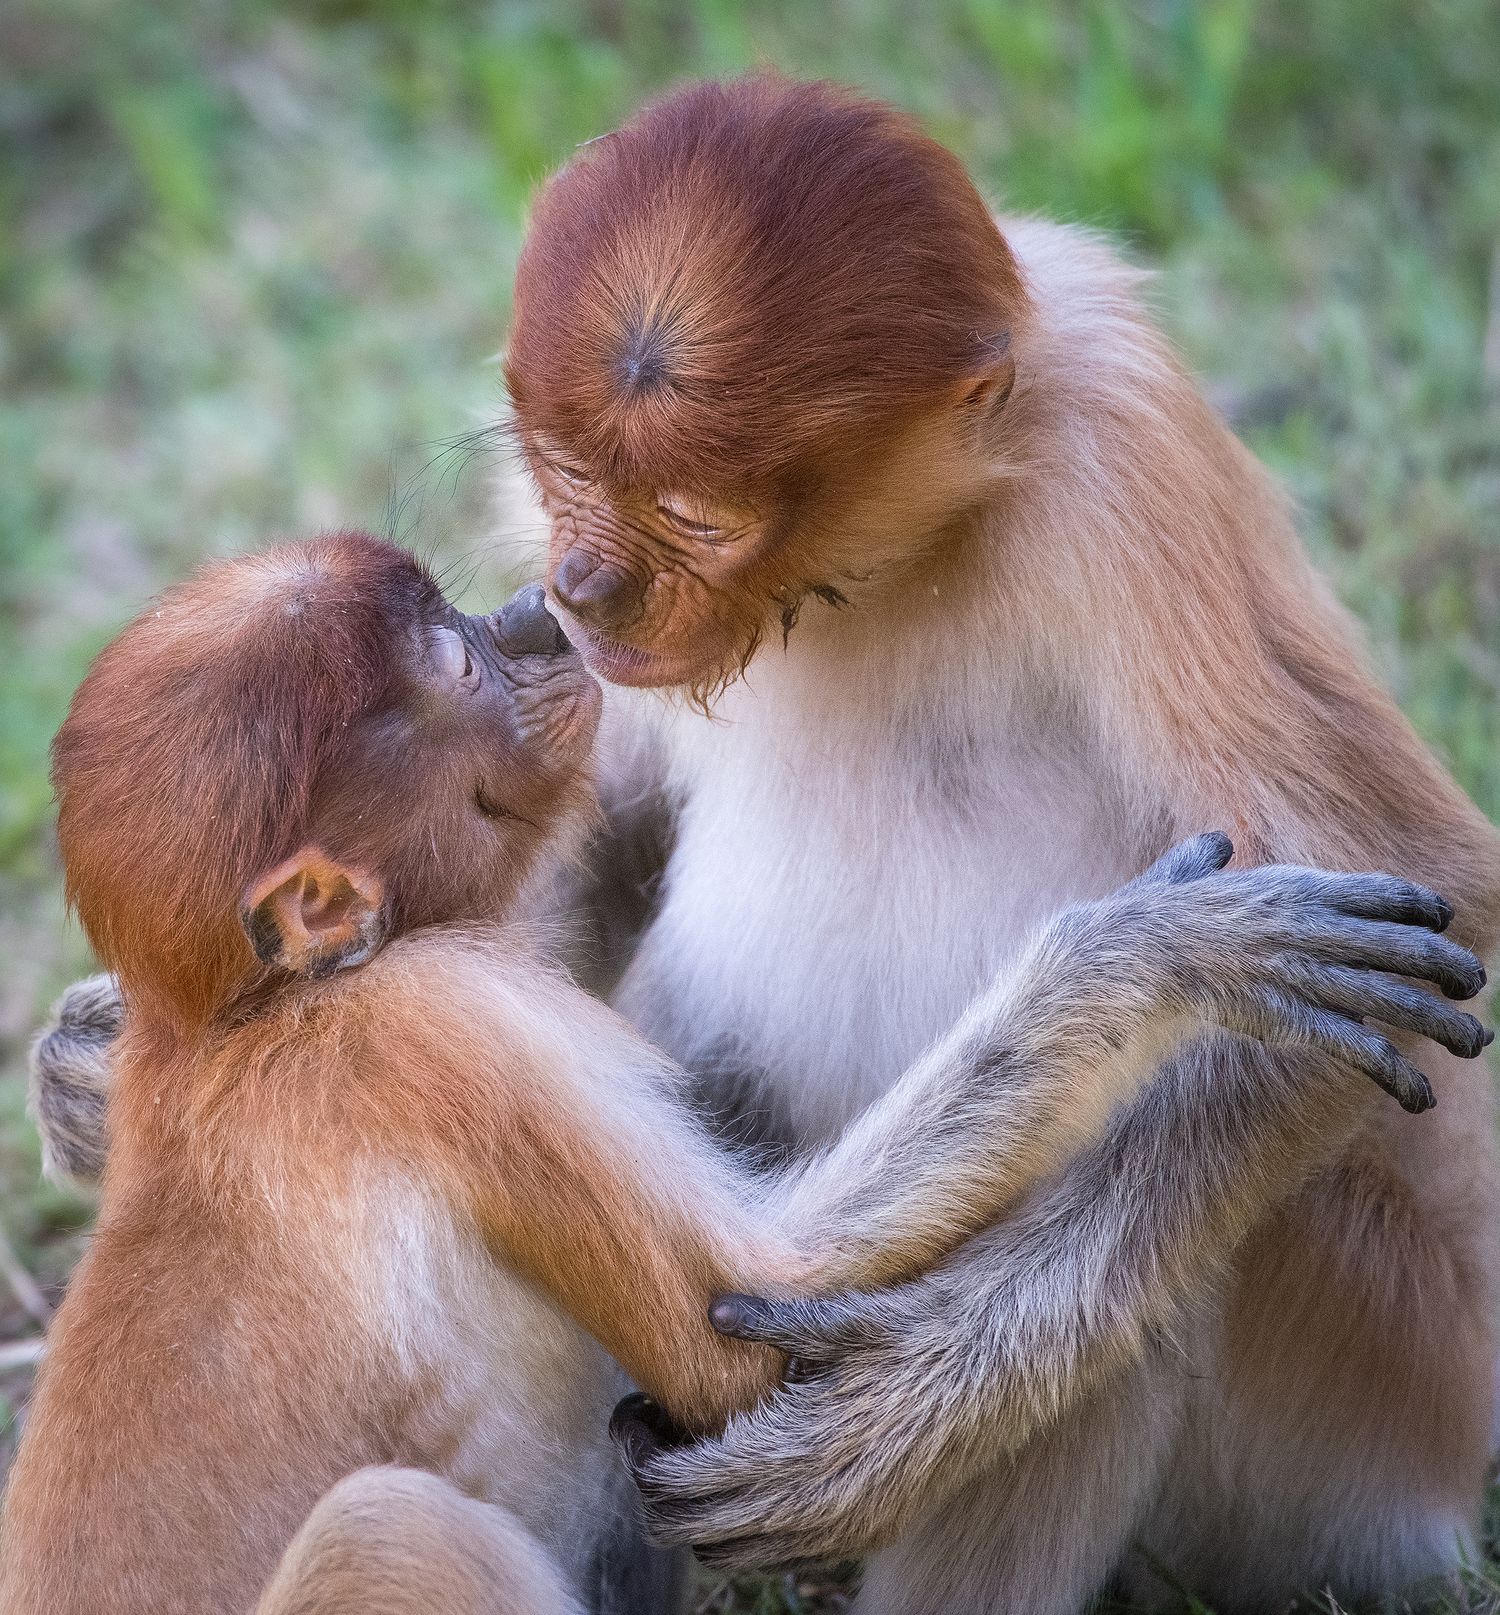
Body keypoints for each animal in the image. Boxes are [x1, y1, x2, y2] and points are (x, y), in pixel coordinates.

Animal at [9, 532, 1473, 1615]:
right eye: (454, 658)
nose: (531, 617)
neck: (236, 1021)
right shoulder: (440, 1028)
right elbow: (746, 1297)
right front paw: (1172, 952)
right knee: (390, 1524)